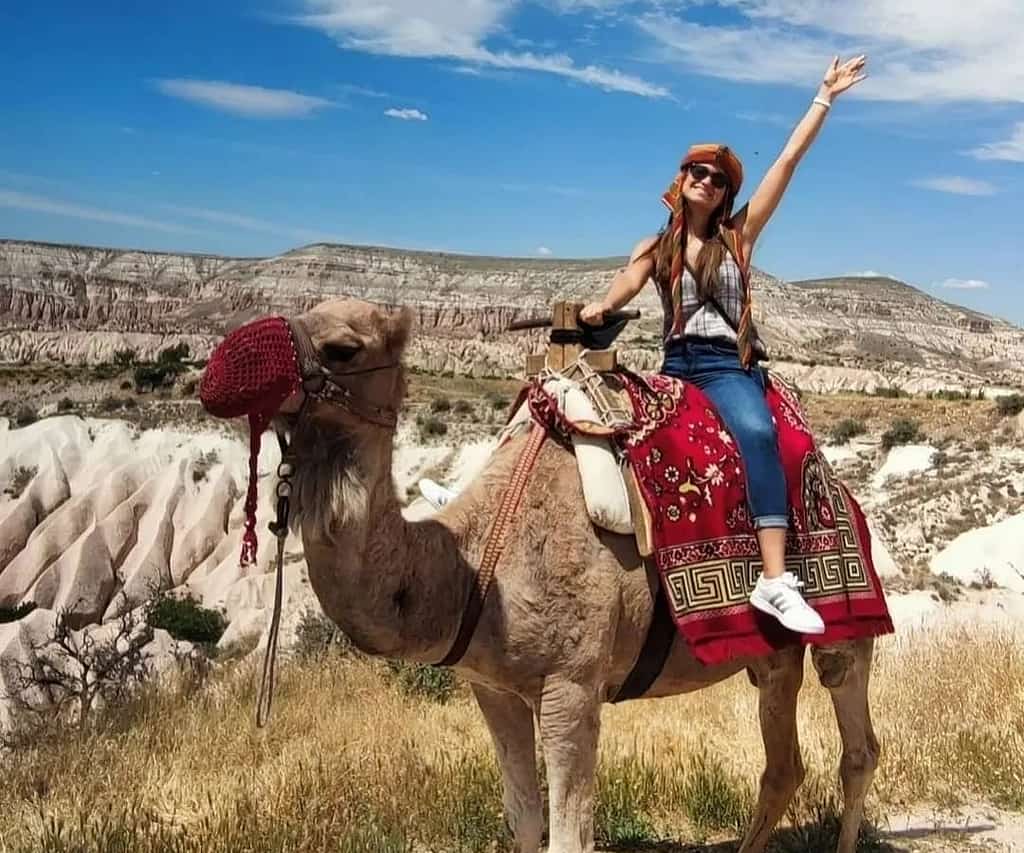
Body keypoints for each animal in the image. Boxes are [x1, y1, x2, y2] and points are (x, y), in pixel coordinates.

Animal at [272, 298, 879, 853]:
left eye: (343, 348)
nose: (251, 370)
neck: (477, 563)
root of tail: (842, 489)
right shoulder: (492, 688)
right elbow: (523, 819)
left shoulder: (573, 685)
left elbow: (569, 836)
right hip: (770, 656)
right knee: (783, 764)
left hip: (846, 623)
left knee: (855, 746)